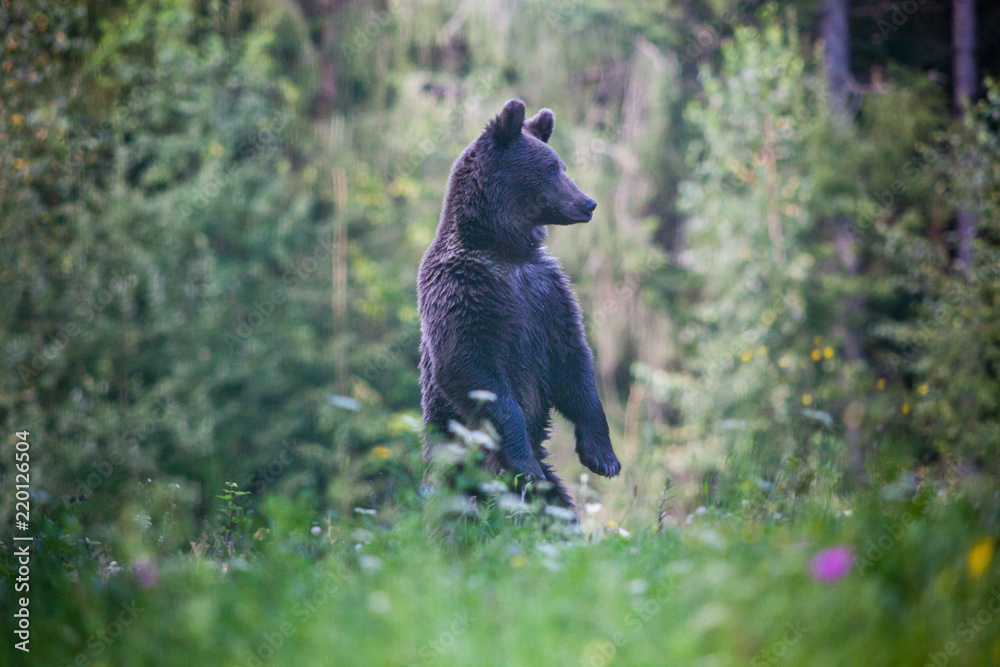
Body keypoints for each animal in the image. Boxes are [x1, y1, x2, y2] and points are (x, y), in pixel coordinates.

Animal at [417, 98, 621, 509]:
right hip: (456, 467)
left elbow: (573, 363)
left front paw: (603, 457)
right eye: (551, 168)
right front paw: (524, 461)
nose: (588, 203)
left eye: (561, 165)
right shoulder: (463, 292)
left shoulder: (545, 294)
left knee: (558, 508)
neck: (505, 249)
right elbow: (469, 367)